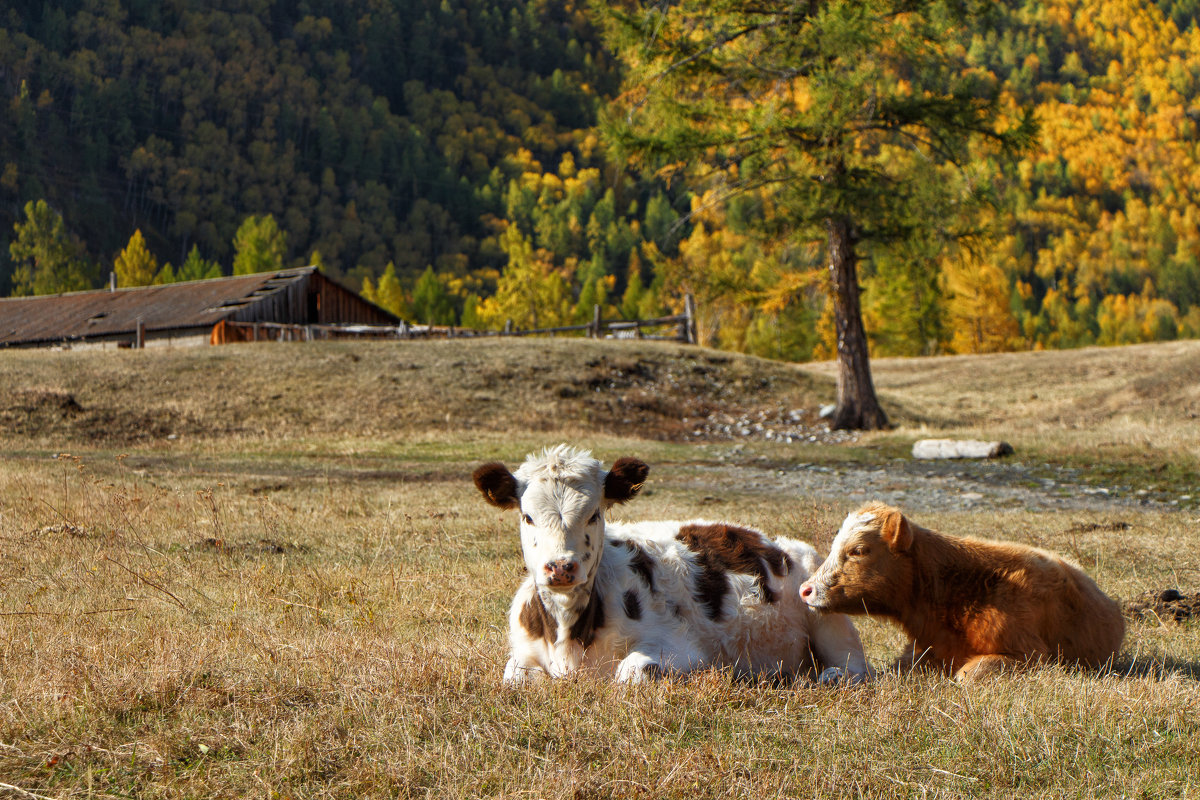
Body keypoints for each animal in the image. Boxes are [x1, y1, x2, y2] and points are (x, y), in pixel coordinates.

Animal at [470, 448, 873, 686]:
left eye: (594, 513)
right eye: (527, 516)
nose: (560, 568)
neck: (569, 635)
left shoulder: (684, 649)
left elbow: (631, 673)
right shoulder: (522, 653)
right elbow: (513, 676)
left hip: (827, 615)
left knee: (855, 668)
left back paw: (828, 676)